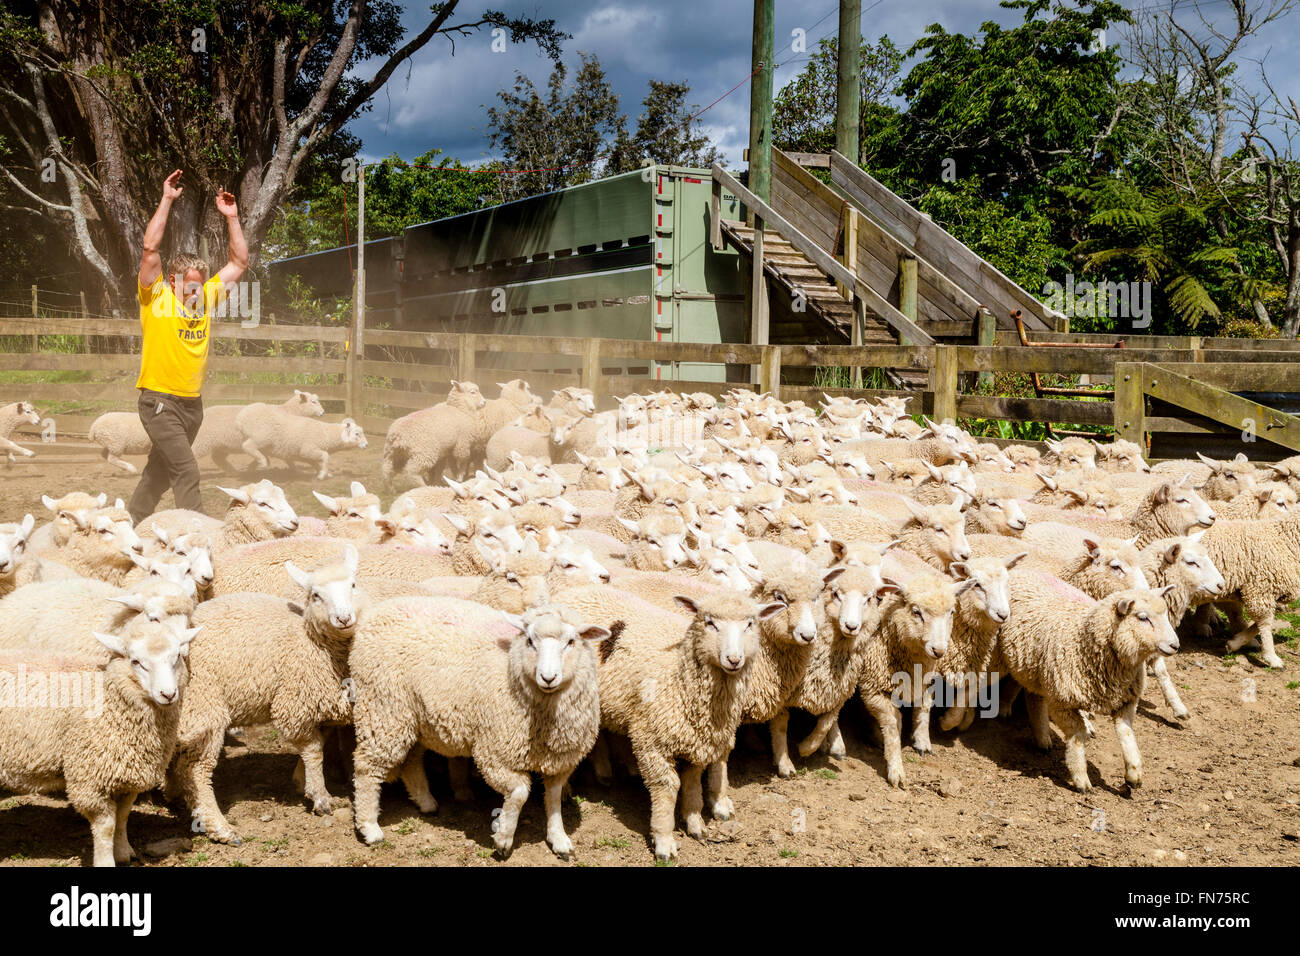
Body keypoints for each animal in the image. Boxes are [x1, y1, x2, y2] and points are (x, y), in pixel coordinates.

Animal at [0, 616, 197, 868]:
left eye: (177, 657)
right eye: (136, 661)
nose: (168, 694)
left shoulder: (127, 775)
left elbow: (123, 817)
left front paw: (123, 851)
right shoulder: (90, 777)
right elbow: (106, 827)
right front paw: (106, 860)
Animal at [171, 546, 366, 842]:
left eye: (353, 585)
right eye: (316, 595)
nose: (343, 618)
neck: (312, 642)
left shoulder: (321, 700)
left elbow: (321, 740)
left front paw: (302, 781)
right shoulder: (294, 702)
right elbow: (313, 750)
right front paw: (320, 796)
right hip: (203, 707)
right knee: (195, 770)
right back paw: (220, 827)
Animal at [236, 403, 369, 478]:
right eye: (357, 434)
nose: (366, 445)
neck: (326, 434)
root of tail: (242, 415)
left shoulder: (304, 454)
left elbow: (316, 463)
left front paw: (324, 472)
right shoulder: (308, 449)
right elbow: (325, 456)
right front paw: (322, 475)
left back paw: (254, 467)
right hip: (262, 437)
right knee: (247, 446)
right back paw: (262, 463)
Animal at [345, 606, 608, 858]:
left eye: (571, 641)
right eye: (530, 640)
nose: (548, 677)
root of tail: (378, 611)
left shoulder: (562, 761)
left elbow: (553, 798)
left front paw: (559, 838)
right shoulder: (495, 754)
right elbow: (519, 793)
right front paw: (503, 838)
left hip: (416, 719)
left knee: (411, 760)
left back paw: (425, 802)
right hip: (384, 709)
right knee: (366, 769)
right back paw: (370, 827)